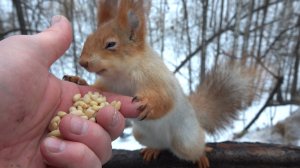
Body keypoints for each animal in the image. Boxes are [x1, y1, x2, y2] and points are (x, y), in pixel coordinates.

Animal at [63, 0, 255, 167]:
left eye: (111, 44)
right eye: (88, 39)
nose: (82, 62)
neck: (122, 74)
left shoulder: (157, 78)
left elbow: (166, 100)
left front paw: (150, 105)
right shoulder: (109, 85)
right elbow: (97, 89)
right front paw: (78, 80)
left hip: (186, 140)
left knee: (194, 147)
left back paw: (201, 155)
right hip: (141, 134)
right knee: (161, 145)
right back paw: (153, 149)